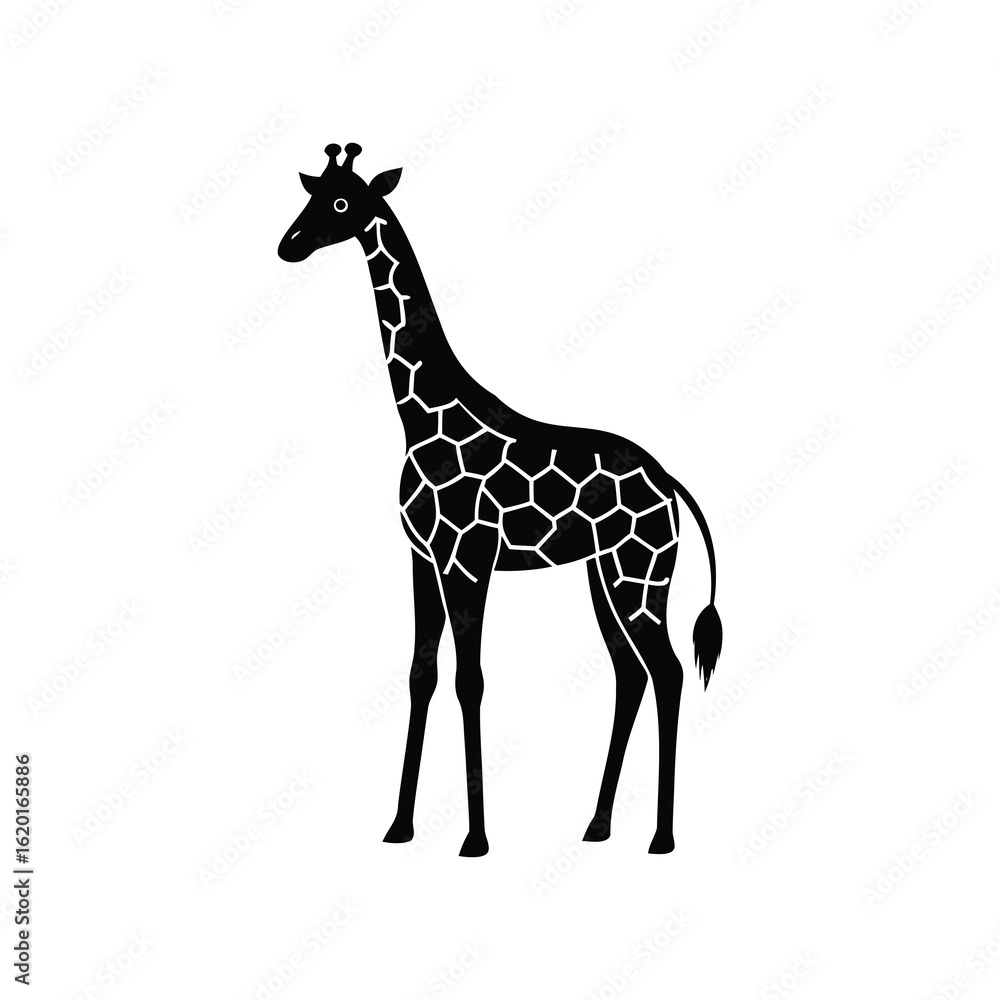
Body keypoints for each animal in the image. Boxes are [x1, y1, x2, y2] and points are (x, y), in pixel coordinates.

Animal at [278, 143, 723, 856]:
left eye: (341, 202)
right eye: (311, 194)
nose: (288, 245)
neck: (420, 417)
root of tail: (669, 479)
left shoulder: (469, 561)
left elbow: (471, 680)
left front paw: (475, 838)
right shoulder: (422, 558)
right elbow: (421, 676)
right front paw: (399, 826)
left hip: (640, 573)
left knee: (670, 672)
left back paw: (661, 836)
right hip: (602, 574)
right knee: (631, 674)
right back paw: (597, 825)